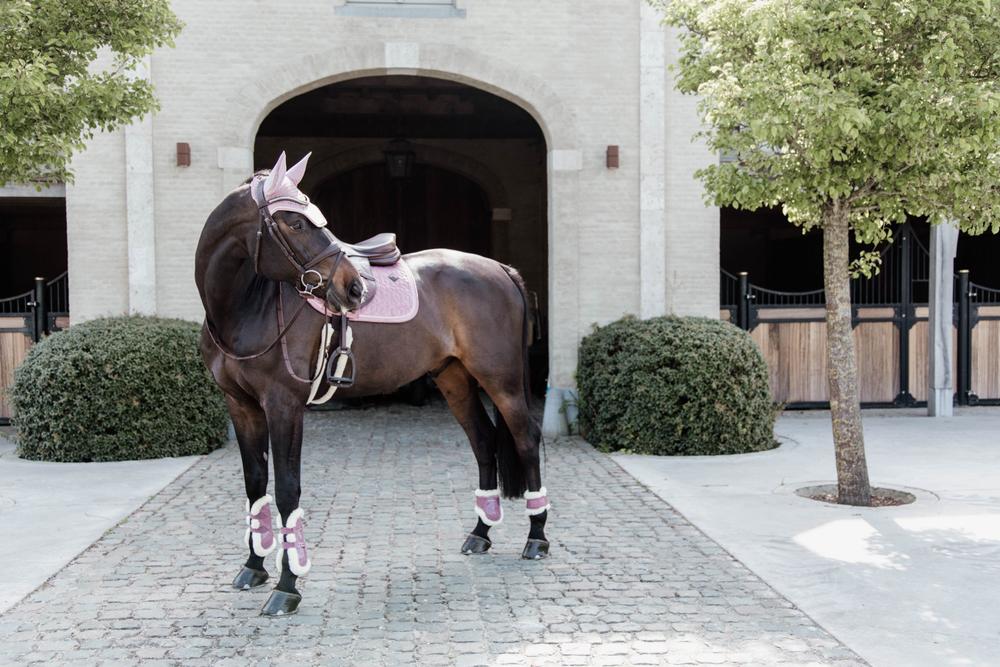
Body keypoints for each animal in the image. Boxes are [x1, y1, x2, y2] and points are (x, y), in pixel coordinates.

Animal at [196, 152, 549, 616]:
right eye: (296, 223)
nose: (353, 287)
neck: (246, 307)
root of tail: (501, 269)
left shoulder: (283, 405)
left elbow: (288, 490)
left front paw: (288, 587)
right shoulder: (241, 406)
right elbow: (256, 484)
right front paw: (253, 568)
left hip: (501, 380)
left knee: (525, 439)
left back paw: (537, 538)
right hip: (454, 379)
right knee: (484, 441)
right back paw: (480, 534)